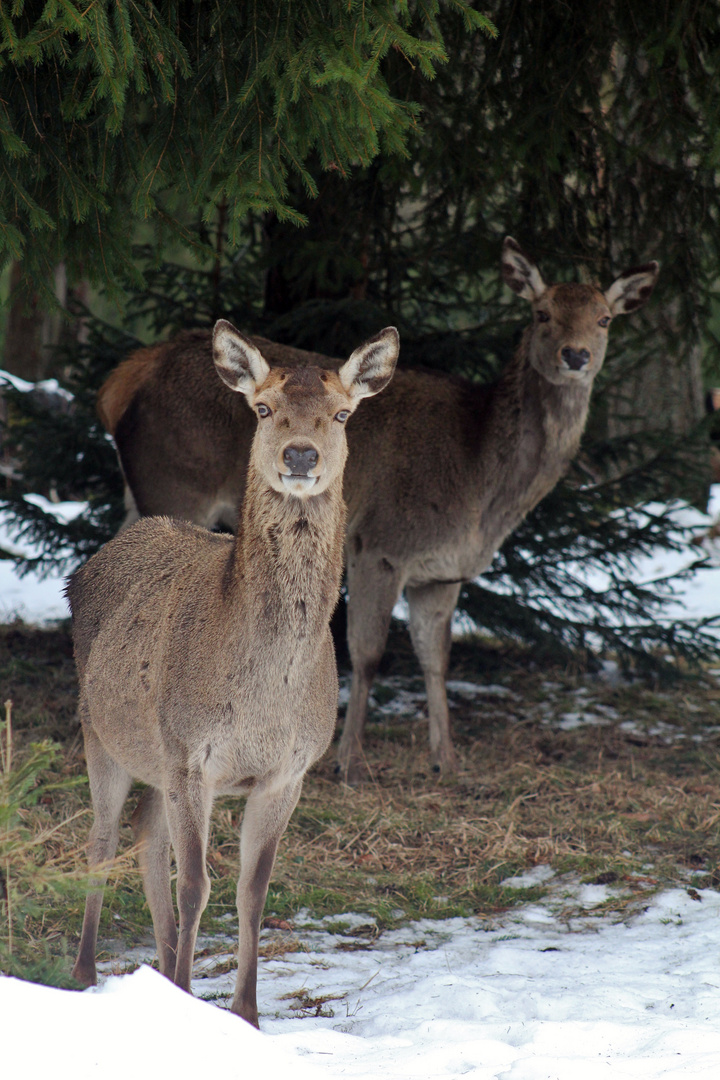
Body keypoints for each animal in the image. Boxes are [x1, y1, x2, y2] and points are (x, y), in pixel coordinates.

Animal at [68, 315, 399, 1023]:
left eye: (342, 413)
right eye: (264, 407)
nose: (300, 456)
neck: (262, 701)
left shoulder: (287, 772)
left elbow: (253, 889)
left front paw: (244, 1012)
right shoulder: (192, 753)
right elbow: (196, 883)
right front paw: (193, 1000)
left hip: (154, 756)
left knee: (144, 833)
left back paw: (163, 969)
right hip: (100, 731)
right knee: (102, 840)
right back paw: (85, 971)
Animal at [98, 236, 660, 781]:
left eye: (604, 319)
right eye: (543, 314)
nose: (576, 355)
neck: (480, 488)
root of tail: (120, 382)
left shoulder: (442, 572)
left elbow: (436, 659)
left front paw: (447, 761)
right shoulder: (382, 543)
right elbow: (367, 654)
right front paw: (349, 761)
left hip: (138, 494)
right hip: (172, 484)